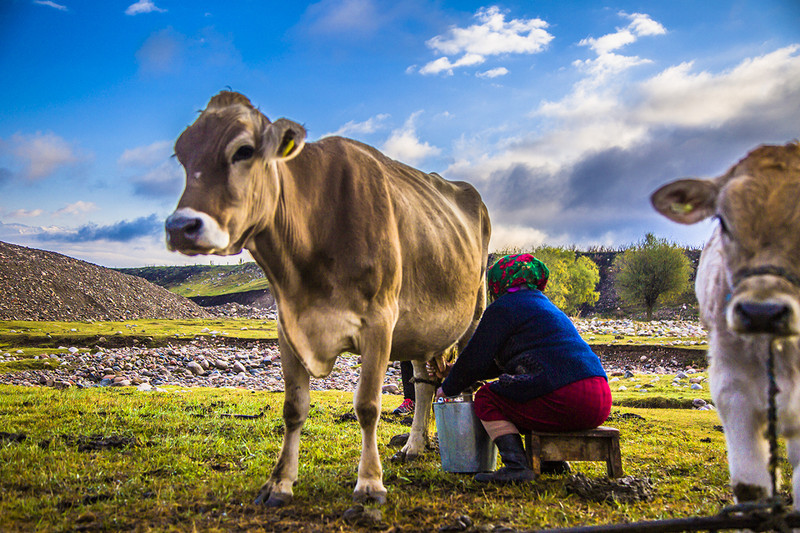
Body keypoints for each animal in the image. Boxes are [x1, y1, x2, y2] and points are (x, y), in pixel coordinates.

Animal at [166, 92, 490, 508]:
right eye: (182, 154)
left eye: (244, 150)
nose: (180, 227)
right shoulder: (287, 325)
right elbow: (293, 407)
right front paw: (279, 483)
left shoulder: (379, 320)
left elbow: (367, 405)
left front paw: (369, 484)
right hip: (422, 326)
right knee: (423, 384)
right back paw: (414, 447)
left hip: (473, 314)